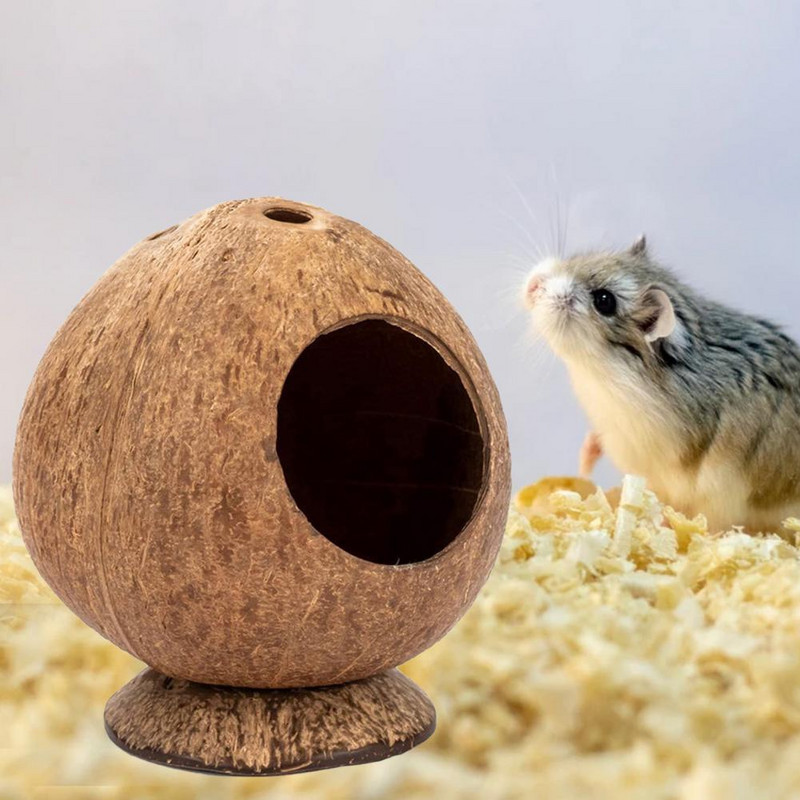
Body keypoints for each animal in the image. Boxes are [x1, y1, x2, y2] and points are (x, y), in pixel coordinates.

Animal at [522, 235, 800, 533]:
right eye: (584, 258)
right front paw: (584, 464)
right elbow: (596, 438)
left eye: (604, 300)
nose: (532, 284)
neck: (606, 373)